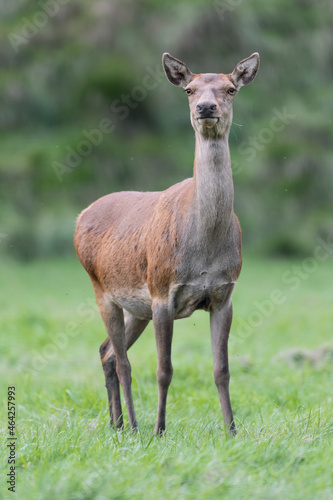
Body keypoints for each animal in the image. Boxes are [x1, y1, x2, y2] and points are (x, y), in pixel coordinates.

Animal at [73, 49, 260, 434]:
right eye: (189, 89)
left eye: (230, 89)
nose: (206, 107)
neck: (205, 249)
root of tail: (79, 216)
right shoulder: (162, 291)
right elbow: (164, 369)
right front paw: (160, 429)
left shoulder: (225, 295)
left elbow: (222, 369)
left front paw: (232, 430)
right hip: (103, 289)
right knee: (123, 361)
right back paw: (132, 425)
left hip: (135, 307)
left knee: (106, 352)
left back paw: (116, 423)